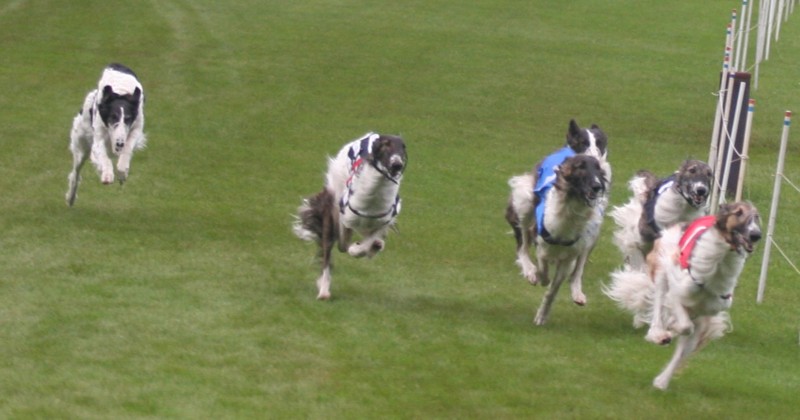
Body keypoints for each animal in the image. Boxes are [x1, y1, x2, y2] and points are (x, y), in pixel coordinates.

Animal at [66, 63, 146, 206]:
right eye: (113, 117)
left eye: (128, 119)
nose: (119, 144)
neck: (121, 93)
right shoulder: (98, 139)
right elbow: (104, 158)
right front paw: (107, 175)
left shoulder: (136, 129)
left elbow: (127, 150)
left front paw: (122, 172)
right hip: (82, 145)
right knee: (75, 172)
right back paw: (71, 197)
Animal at [293, 132, 407, 300]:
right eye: (385, 145)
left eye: (403, 148)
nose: (397, 164)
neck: (373, 198)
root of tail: (370, 134)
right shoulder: (343, 218)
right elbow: (343, 245)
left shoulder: (384, 221)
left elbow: (366, 242)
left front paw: (365, 247)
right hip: (333, 204)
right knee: (331, 251)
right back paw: (324, 291)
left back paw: (375, 245)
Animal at [505, 119, 611, 324]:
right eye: (582, 142)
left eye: (600, 143)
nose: (597, 185)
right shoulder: (543, 247)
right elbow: (543, 268)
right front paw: (537, 274)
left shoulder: (570, 257)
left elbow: (553, 289)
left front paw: (542, 315)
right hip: (525, 201)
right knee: (522, 244)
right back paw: (529, 270)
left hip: (593, 232)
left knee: (578, 269)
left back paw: (577, 291)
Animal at [605, 201, 761, 390]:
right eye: (738, 213)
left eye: (757, 217)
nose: (756, 235)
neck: (718, 265)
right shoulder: (676, 292)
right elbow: (684, 324)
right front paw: (670, 329)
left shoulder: (707, 312)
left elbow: (686, 335)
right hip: (663, 268)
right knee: (659, 311)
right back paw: (658, 334)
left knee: (684, 344)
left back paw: (661, 381)